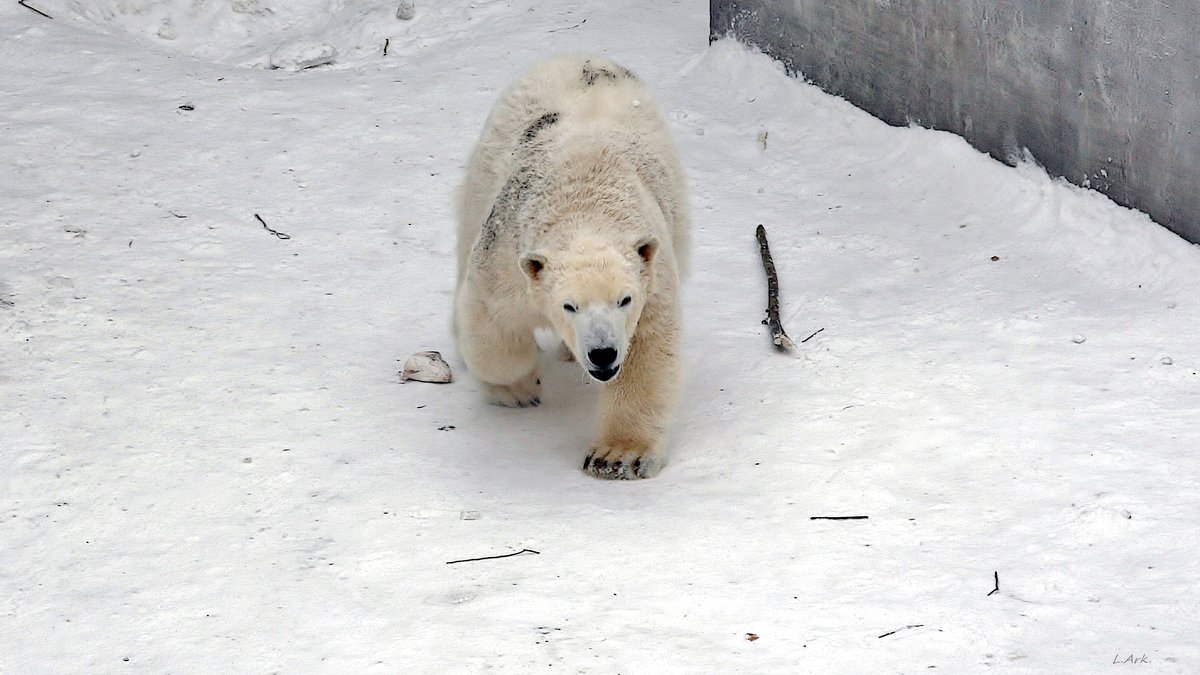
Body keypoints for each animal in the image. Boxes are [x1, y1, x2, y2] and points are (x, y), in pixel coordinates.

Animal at [453, 56, 691, 478]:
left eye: (624, 300)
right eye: (569, 305)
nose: (603, 354)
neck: (584, 199)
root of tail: (582, 58)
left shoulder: (651, 277)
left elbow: (648, 353)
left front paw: (617, 456)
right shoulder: (507, 257)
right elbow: (489, 321)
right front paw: (519, 387)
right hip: (486, 167)